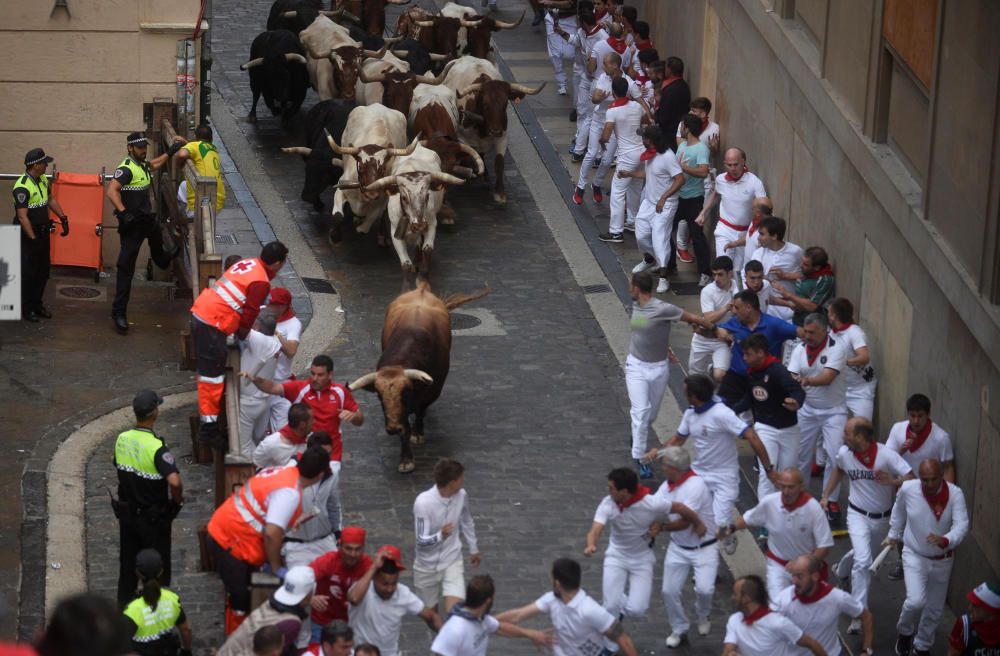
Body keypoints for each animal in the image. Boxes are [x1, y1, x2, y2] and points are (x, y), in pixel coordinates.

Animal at [350, 280, 490, 472]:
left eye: (405, 394)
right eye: (379, 396)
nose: (393, 429)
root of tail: (421, 289)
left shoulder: (433, 390)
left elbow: (420, 411)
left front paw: (417, 433)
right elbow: (405, 428)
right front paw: (406, 459)